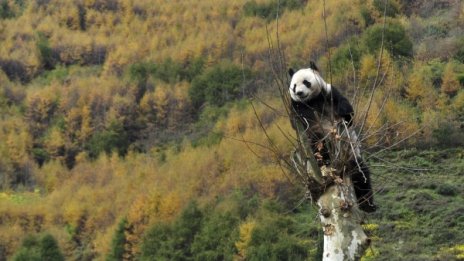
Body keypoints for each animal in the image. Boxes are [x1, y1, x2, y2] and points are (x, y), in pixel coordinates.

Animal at [286, 62, 376, 212]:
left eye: (306, 82)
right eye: (294, 86)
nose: (299, 93)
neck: (311, 101)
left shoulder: (329, 92)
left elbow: (347, 109)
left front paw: (345, 115)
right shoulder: (297, 107)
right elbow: (298, 123)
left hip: (350, 154)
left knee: (361, 175)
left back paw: (368, 205)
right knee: (316, 140)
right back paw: (325, 158)